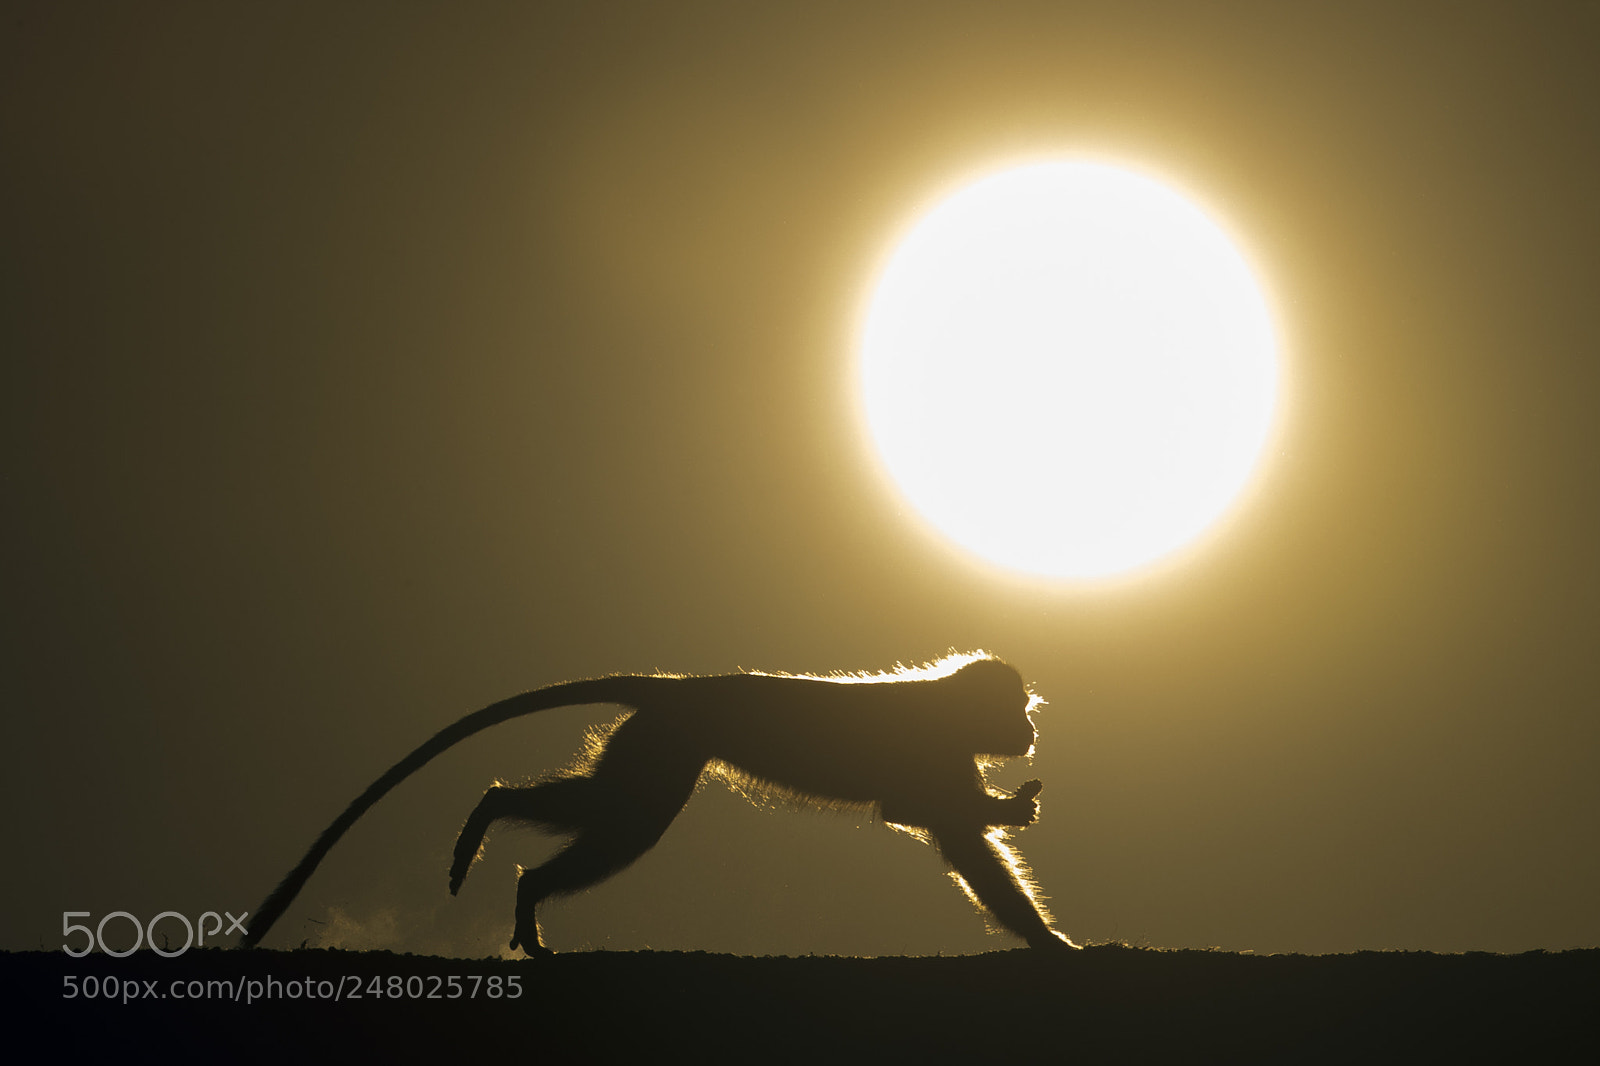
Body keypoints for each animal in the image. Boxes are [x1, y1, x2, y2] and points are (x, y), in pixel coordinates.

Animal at [240, 652, 1077, 954]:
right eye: (1016, 709)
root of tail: (682, 689)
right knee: (632, 821)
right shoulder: (932, 753)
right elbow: (921, 815)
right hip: (665, 745)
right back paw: (511, 855)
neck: (950, 709)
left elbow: (935, 826)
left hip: (653, 744)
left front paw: (1044, 938)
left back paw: (505, 844)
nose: (1032, 731)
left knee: (617, 812)